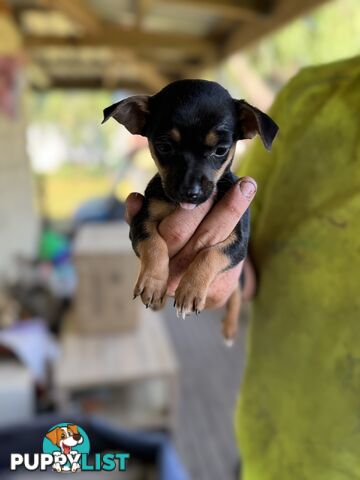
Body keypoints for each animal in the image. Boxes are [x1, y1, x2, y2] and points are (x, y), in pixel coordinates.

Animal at [102, 80, 278, 344]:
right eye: (164, 147)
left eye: (221, 150)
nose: (190, 192)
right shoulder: (140, 222)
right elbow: (154, 243)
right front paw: (153, 283)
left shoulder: (238, 242)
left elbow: (210, 254)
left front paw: (190, 291)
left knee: (236, 294)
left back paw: (229, 328)